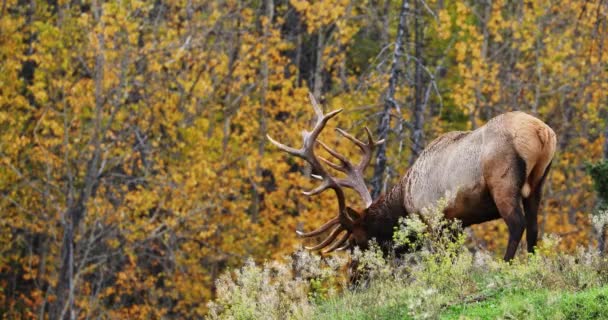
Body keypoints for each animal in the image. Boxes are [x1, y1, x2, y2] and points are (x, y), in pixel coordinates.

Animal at [268, 94, 560, 262]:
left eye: (356, 241)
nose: (355, 278)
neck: (405, 200)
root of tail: (541, 132)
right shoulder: (456, 222)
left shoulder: (435, 217)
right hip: (537, 184)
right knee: (534, 226)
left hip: (503, 182)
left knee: (517, 224)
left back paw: (506, 264)